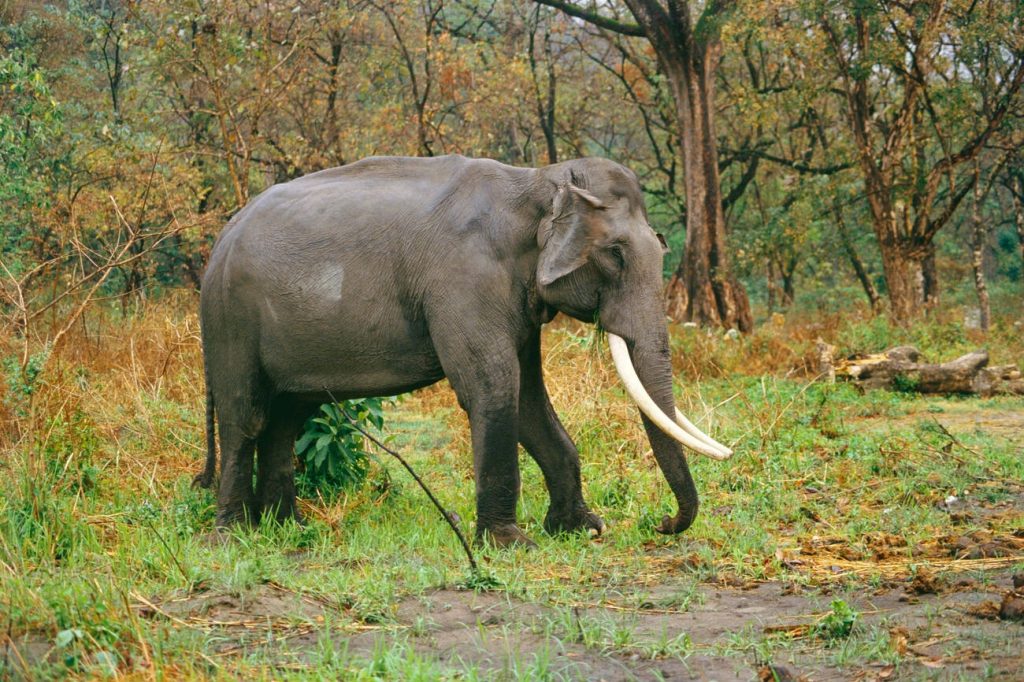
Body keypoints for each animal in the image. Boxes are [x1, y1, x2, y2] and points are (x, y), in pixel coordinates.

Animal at [192, 155, 733, 548]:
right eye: (616, 255)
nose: (660, 523)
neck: (538, 181)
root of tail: (220, 238)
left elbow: (529, 401)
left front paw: (582, 528)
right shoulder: (465, 280)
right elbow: (493, 387)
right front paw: (512, 544)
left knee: (286, 420)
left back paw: (289, 530)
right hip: (231, 320)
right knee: (247, 418)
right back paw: (234, 538)